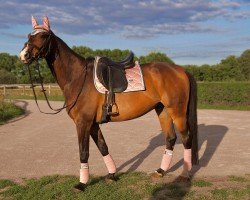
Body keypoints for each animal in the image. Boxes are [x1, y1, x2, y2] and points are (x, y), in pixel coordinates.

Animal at [19, 16, 198, 191]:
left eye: (44, 36)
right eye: (29, 35)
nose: (23, 55)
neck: (78, 78)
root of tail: (181, 70)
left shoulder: (83, 123)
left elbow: (83, 152)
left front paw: (82, 184)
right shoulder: (92, 124)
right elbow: (103, 147)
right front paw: (112, 175)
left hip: (178, 112)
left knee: (186, 138)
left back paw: (184, 175)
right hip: (163, 110)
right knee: (171, 138)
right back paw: (160, 171)